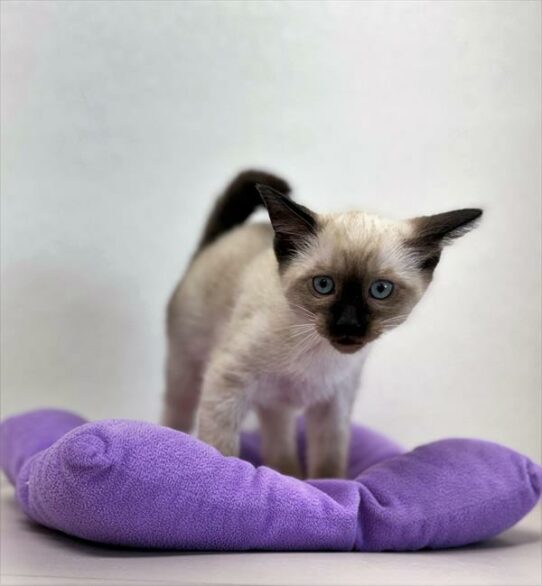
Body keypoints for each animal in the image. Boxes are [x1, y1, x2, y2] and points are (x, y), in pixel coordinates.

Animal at [163, 170, 484, 480]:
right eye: (324, 285)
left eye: (380, 290)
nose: (348, 325)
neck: (317, 355)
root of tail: (219, 240)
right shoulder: (226, 382)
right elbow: (221, 448)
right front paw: (226, 471)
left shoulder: (334, 405)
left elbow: (329, 461)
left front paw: (325, 489)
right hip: (187, 374)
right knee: (175, 418)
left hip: (275, 404)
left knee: (279, 441)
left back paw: (289, 476)